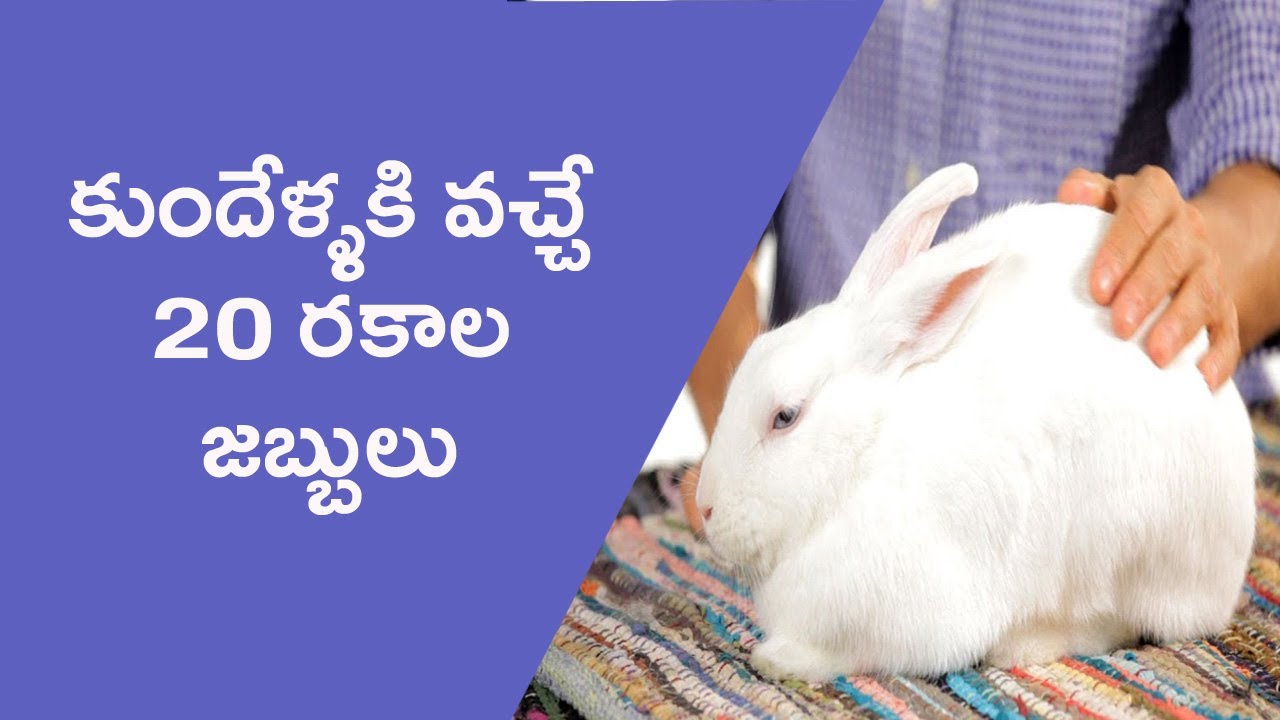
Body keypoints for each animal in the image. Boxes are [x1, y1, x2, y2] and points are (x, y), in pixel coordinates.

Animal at [694, 163, 1257, 680]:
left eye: (784, 417)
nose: (703, 508)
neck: (865, 457)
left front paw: (778, 660)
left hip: (1124, 544)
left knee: (1114, 621)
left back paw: (1024, 645)